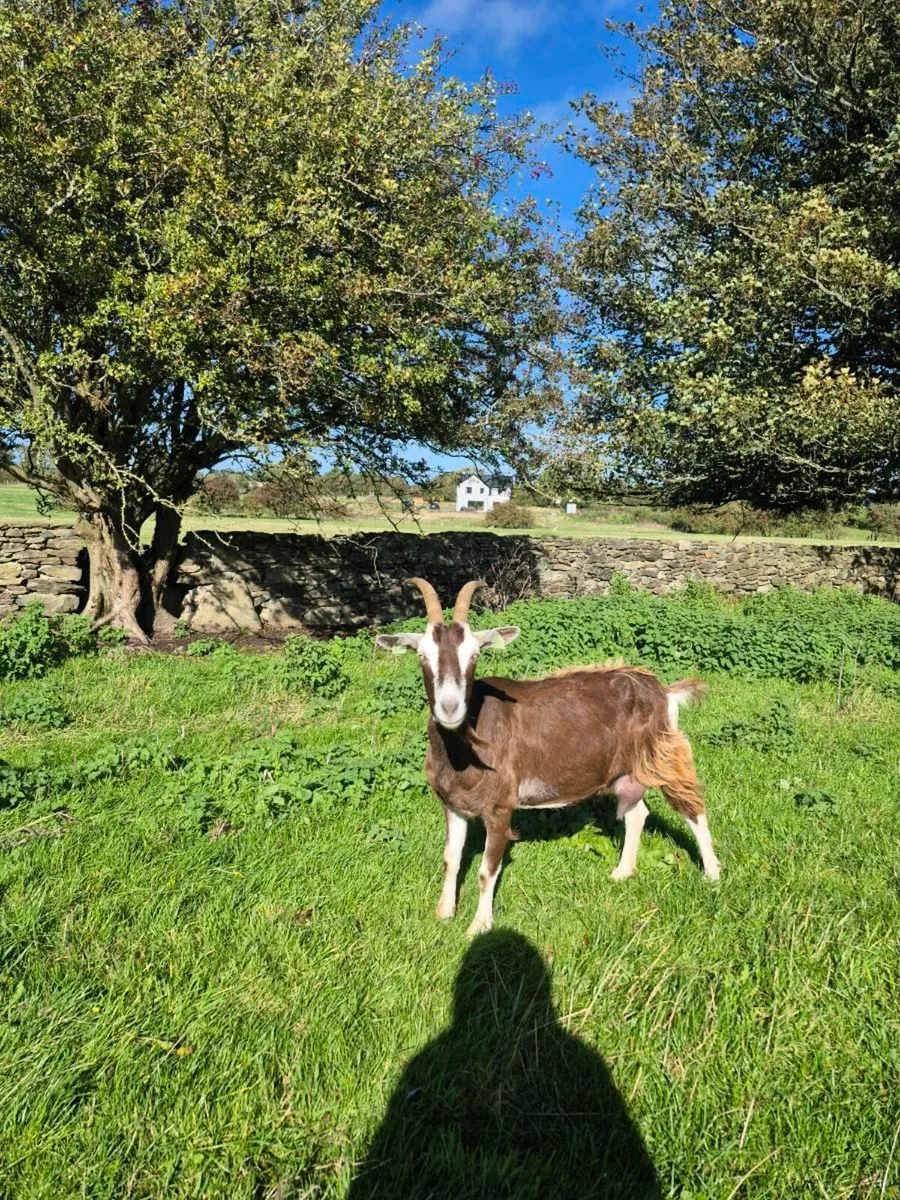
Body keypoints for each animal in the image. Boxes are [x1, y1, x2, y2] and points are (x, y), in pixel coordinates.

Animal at [376, 578, 720, 937]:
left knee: (692, 806)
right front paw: (444, 912)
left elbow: (487, 870)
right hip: (622, 770)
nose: (450, 708)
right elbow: (451, 858)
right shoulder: (453, 804)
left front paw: (479, 926)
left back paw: (712, 873)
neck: (464, 750)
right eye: (421, 655)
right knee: (637, 813)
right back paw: (622, 872)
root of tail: (663, 691)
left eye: (475, 654)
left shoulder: (500, 808)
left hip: (661, 752)